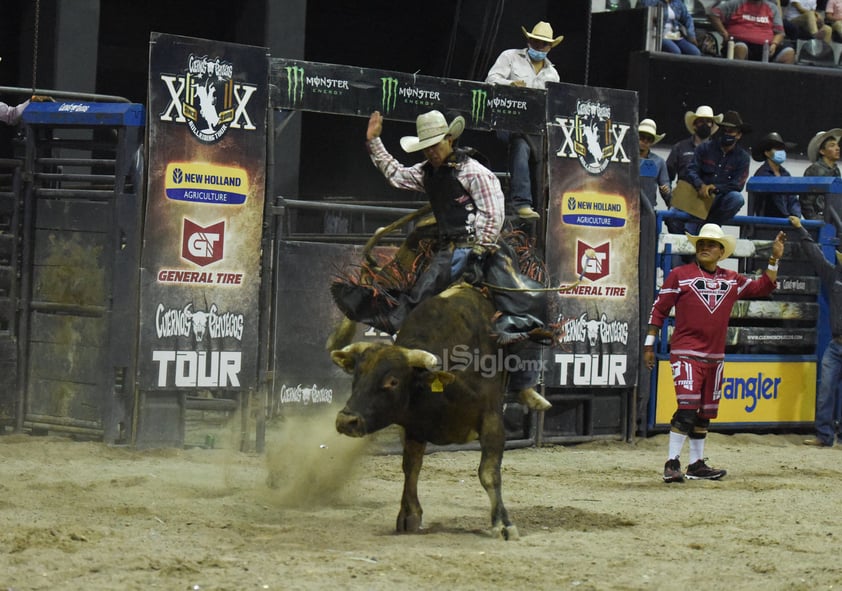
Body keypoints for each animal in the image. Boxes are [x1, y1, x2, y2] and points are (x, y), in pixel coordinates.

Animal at [330, 286, 520, 540]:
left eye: (393, 381)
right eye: (357, 376)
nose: (346, 420)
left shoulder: (492, 420)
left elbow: (489, 473)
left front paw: (503, 524)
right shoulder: (414, 427)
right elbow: (411, 467)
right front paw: (408, 515)